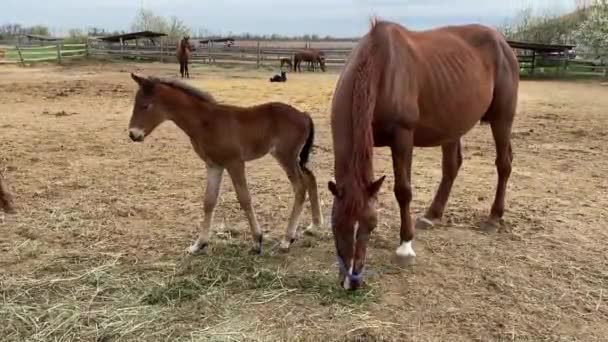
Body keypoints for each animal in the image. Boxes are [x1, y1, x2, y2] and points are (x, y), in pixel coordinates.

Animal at [127, 72, 324, 254]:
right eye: (135, 103)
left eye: (145, 105)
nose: (133, 134)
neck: (206, 122)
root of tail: (304, 115)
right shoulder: (214, 165)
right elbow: (209, 201)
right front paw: (199, 244)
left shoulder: (235, 162)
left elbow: (244, 198)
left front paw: (257, 240)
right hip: (294, 158)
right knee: (310, 178)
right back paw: (314, 225)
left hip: (286, 156)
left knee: (300, 187)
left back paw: (287, 239)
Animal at [328, 19, 516, 292]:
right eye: (335, 225)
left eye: (371, 225)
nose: (350, 282)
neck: (381, 67)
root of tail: (502, 42)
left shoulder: (403, 137)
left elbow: (403, 190)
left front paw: (405, 247)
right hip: (452, 125)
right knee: (452, 166)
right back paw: (432, 215)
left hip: (502, 119)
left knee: (503, 164)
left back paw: (493, 217)